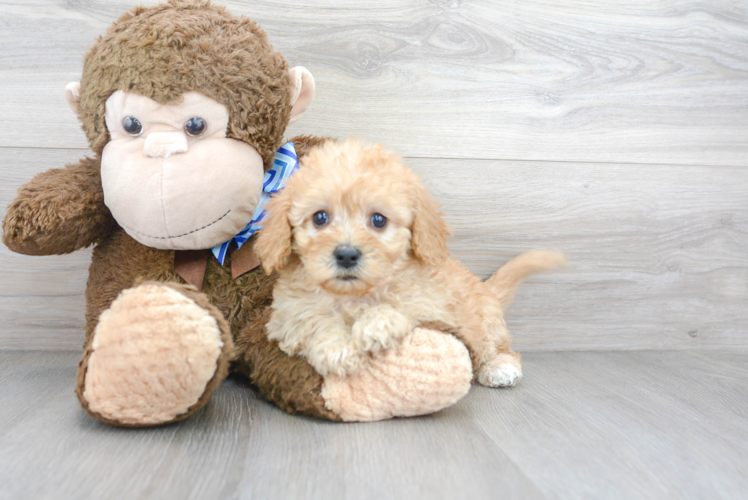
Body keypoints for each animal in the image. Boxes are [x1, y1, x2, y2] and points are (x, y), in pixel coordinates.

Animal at [254, 139, 564, 384]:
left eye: (379, 220)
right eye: (320, 218)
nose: (346, 255)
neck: (354, 296)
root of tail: (485, 288)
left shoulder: (434, 307)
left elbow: (403, 304)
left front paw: (377, 324)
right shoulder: (286, 317)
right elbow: (313, 319)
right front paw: (338, 349)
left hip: (484, 324)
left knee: (500, 348)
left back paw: (500, 367)